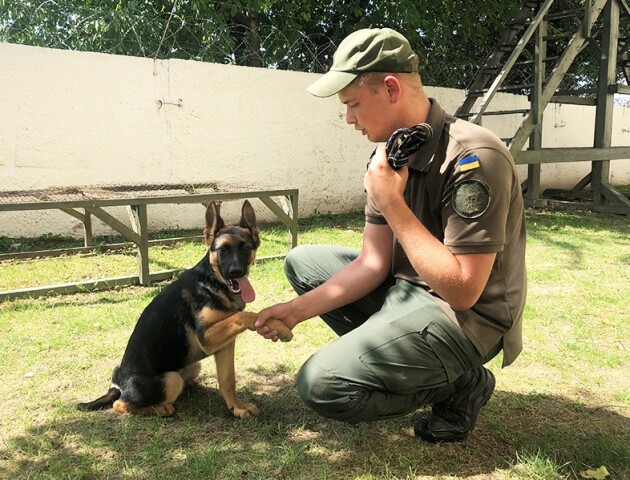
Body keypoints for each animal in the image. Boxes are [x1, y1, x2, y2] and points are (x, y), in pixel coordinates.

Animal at [78, 201, 294, 418]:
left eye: (246, 248)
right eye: (223, 250)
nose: (236, 272)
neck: (212, 282)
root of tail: (118, 384)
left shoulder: (224, 345)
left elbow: (228, 380)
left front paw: (237, 407)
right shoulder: (207, 337)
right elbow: (243, 315)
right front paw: (279, 326)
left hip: (193, 365)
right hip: (169, 379)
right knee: (121, 404)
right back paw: (161, 407)